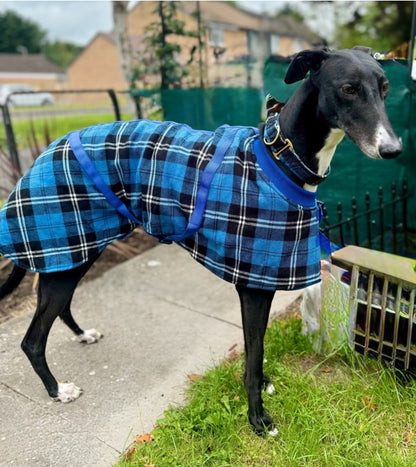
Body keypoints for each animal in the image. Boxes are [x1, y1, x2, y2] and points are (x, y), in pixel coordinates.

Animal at [0, 47, 404, 436]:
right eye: (348, 89)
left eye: (385, 88)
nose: (393, 150)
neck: (281, 157)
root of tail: (39, 158)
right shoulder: (255, 286)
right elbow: (253, 355)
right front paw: (258, 419)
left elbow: (254, 352)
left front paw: (262, 390)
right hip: (65, 247)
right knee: (32, 340)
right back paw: (58, 390)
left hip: (78, 249)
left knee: (60, 305)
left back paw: (82, 335)